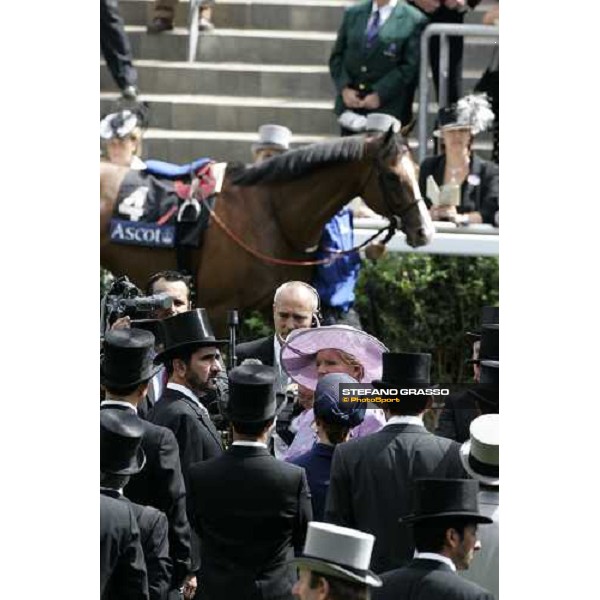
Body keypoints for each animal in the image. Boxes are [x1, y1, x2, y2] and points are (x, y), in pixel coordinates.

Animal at [101, 130, 434, 332]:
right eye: (392, 177)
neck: (271, 212)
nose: (425, 231)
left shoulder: (277, 302)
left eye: (418, 171)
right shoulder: (218, 307)